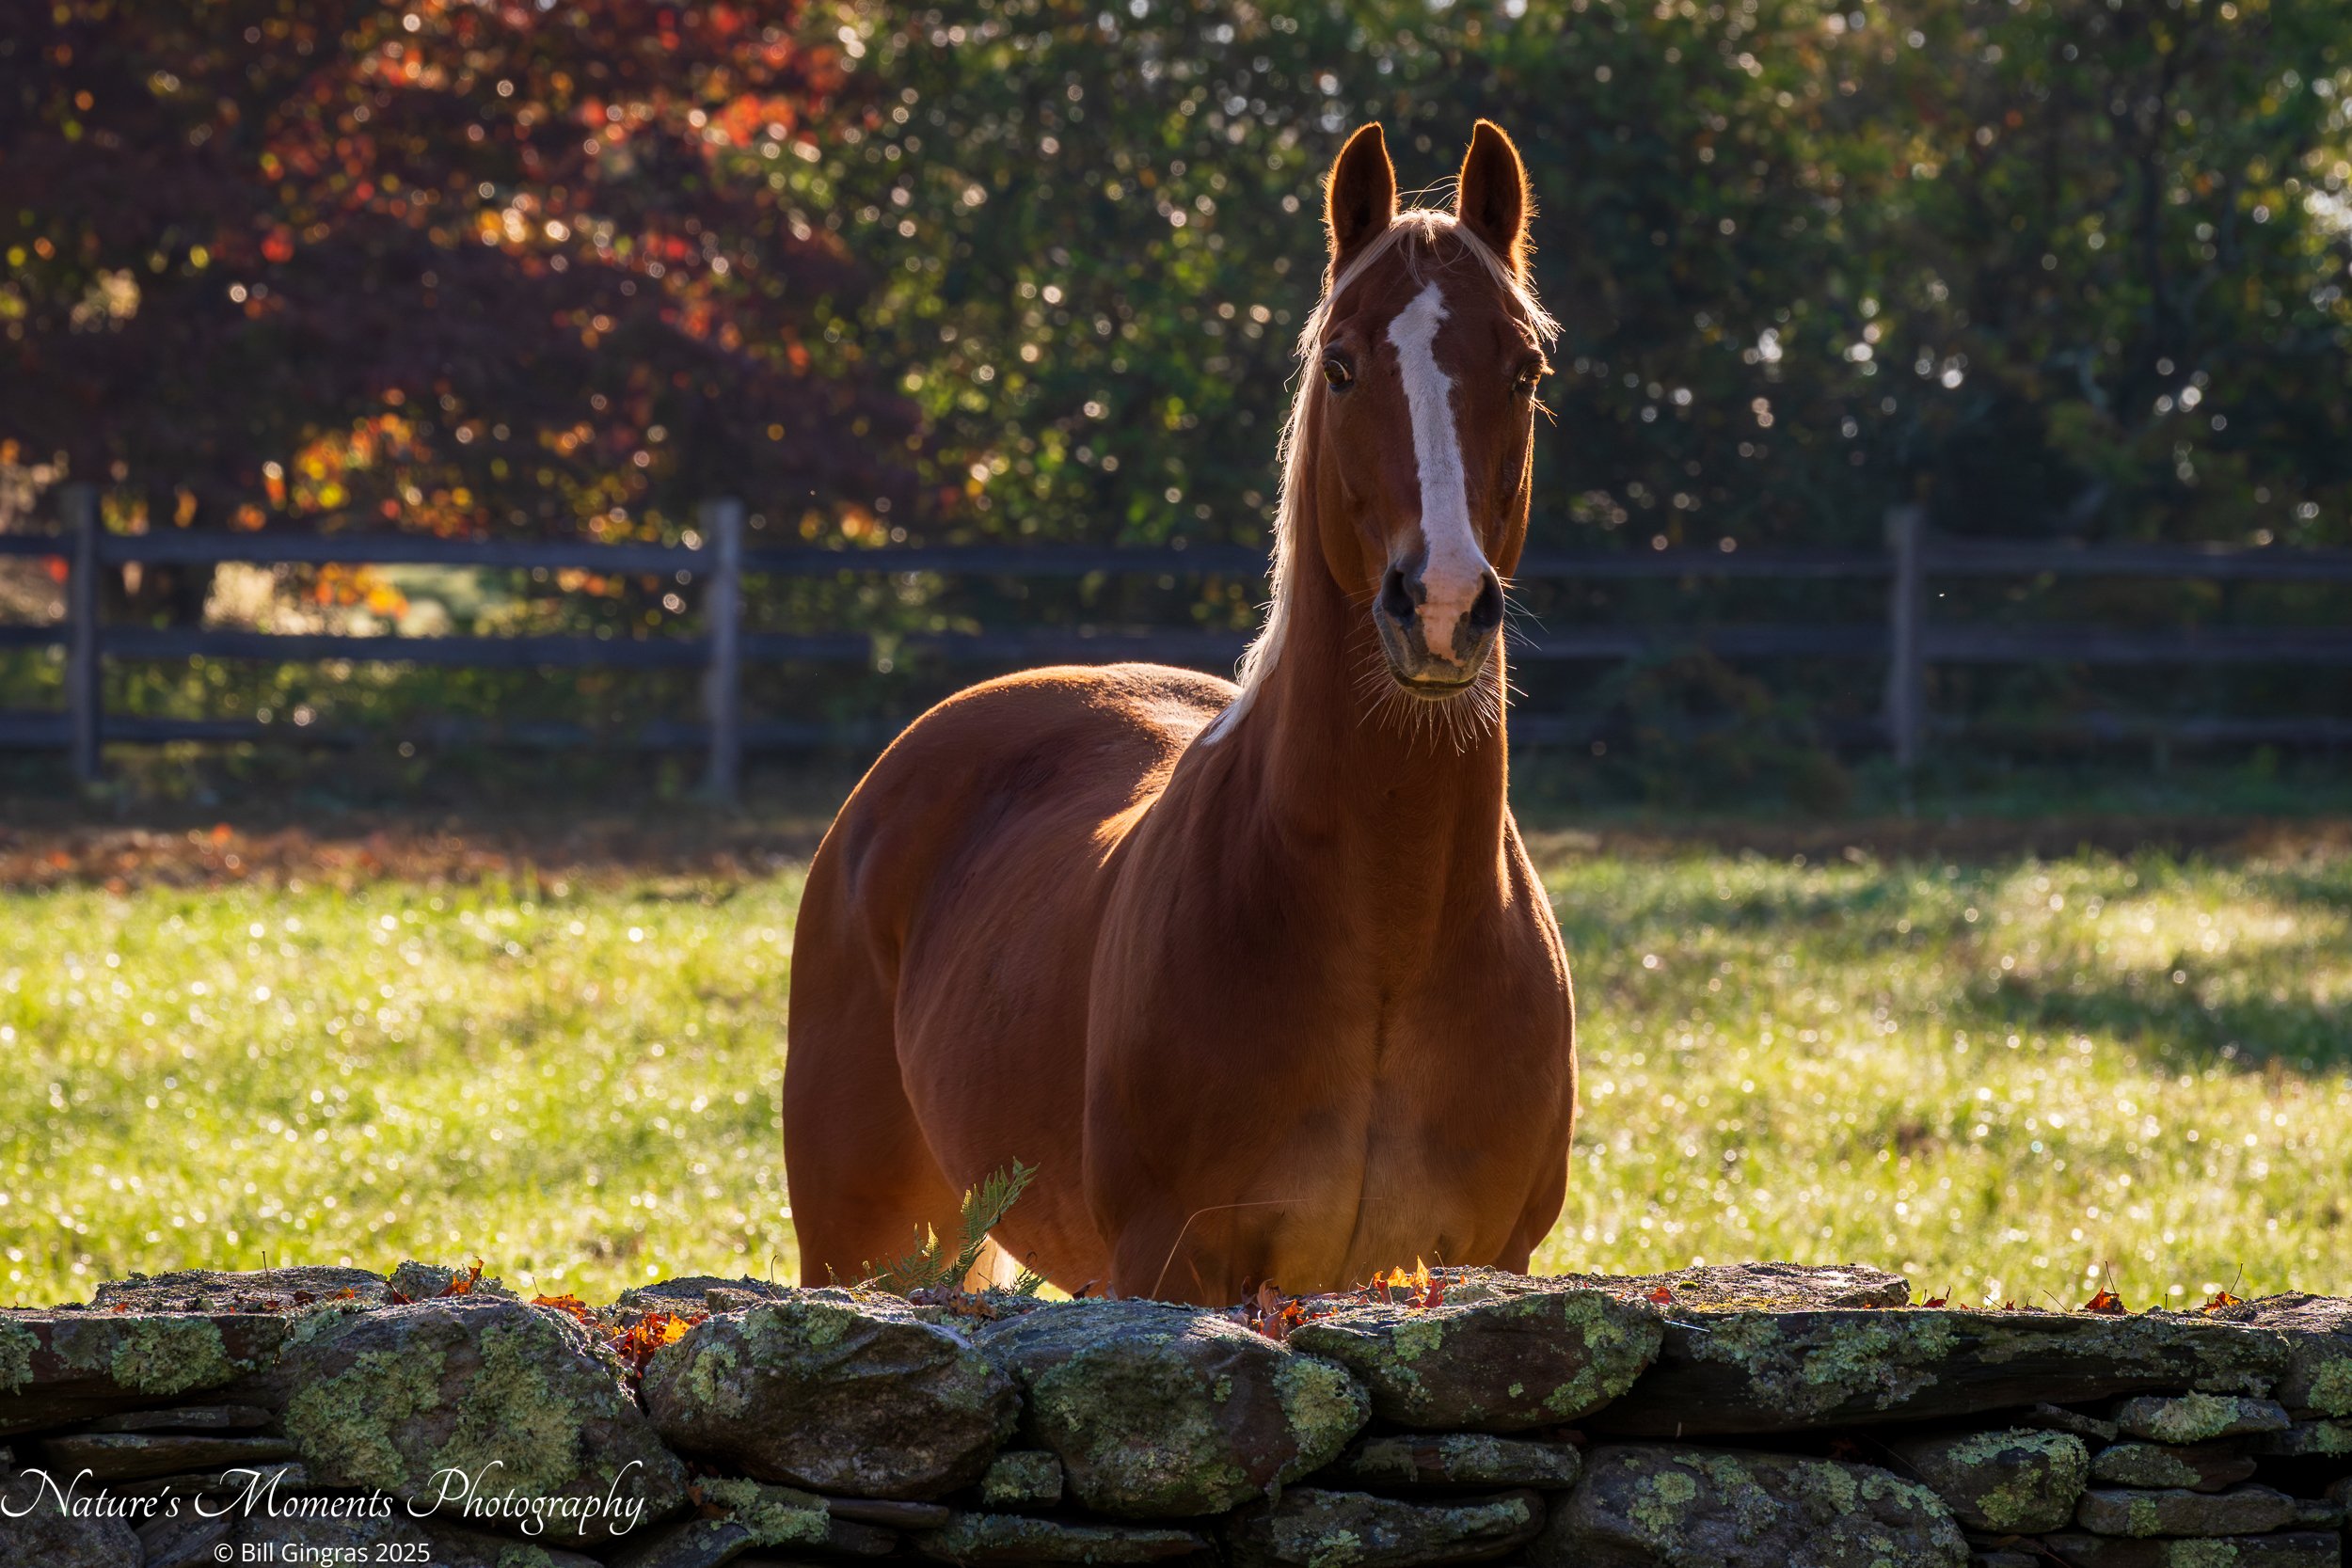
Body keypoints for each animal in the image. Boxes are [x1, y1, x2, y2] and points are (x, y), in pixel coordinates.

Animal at [784, 121, 1576, 1306]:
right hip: (869, 1243)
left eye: (1522, 367)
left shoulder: (1486, 1258)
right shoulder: (1173, 1262)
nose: (1438, 606)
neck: (1387, 939)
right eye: (1342, 365)